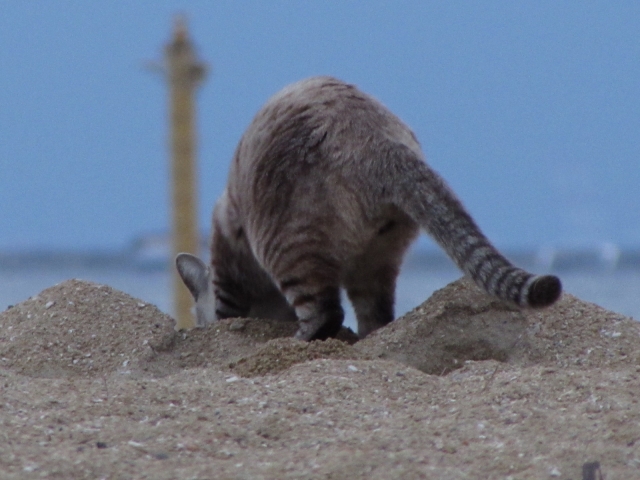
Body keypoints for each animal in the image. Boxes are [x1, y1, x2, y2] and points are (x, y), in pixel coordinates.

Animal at [175, 75, 560, 340]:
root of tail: (380, 143)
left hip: (289, 247)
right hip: (377, 259)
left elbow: (230, 309)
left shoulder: (228, 248)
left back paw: (297, 341)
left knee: (326, 314)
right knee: (376, 319)